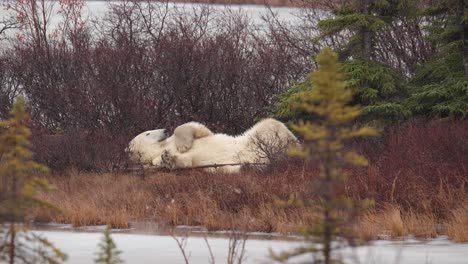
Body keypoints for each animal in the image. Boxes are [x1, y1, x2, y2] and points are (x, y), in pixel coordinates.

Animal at [126, 118, 298, 173]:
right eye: (148, 133)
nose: (164, 130)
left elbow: (196, 128)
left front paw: (183, 145)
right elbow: (184, 163)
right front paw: (167, 159)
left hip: (259, 134)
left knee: (270, 123)